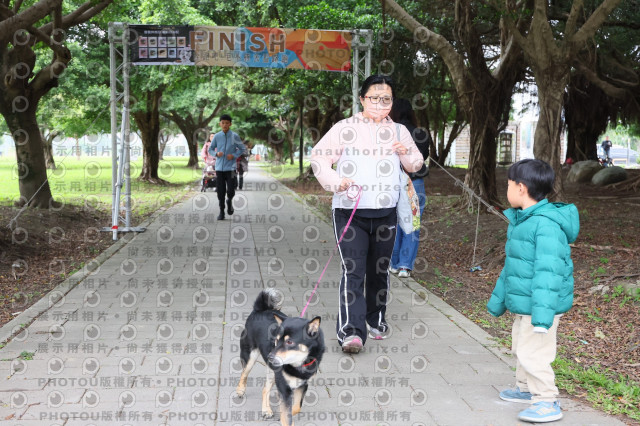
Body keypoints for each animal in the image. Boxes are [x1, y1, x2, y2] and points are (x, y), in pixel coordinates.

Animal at [236, 289, 325, 426]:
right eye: (277, 340)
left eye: (289, 342)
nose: (270, 356)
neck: (299, 365)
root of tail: (260, 309)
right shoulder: (284, 388)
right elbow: (287, 414)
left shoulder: (302, 385)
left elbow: (295, 408)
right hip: (250, 356)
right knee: (244, 373)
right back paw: (240, 390)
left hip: (272, 371)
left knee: (265, 388)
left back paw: (266, 410)